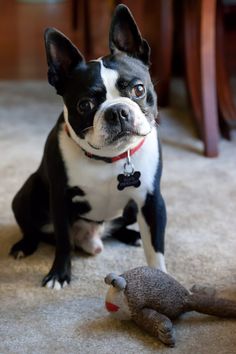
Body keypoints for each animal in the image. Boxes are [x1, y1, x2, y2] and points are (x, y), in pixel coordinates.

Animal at [10, 4, 166, 288]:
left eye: (138, 90)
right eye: (85, 105)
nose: (117, 112)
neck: (110, 158)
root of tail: (92, 238)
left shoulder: (152, 200)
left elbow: (156, 250)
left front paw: (164, 281)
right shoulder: (60, 199)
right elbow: (63, 242)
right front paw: (58, 275)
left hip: (129, 210)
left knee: (119, 227)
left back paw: (132, 236)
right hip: (27, 194)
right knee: (35, 230)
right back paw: (24, 246)